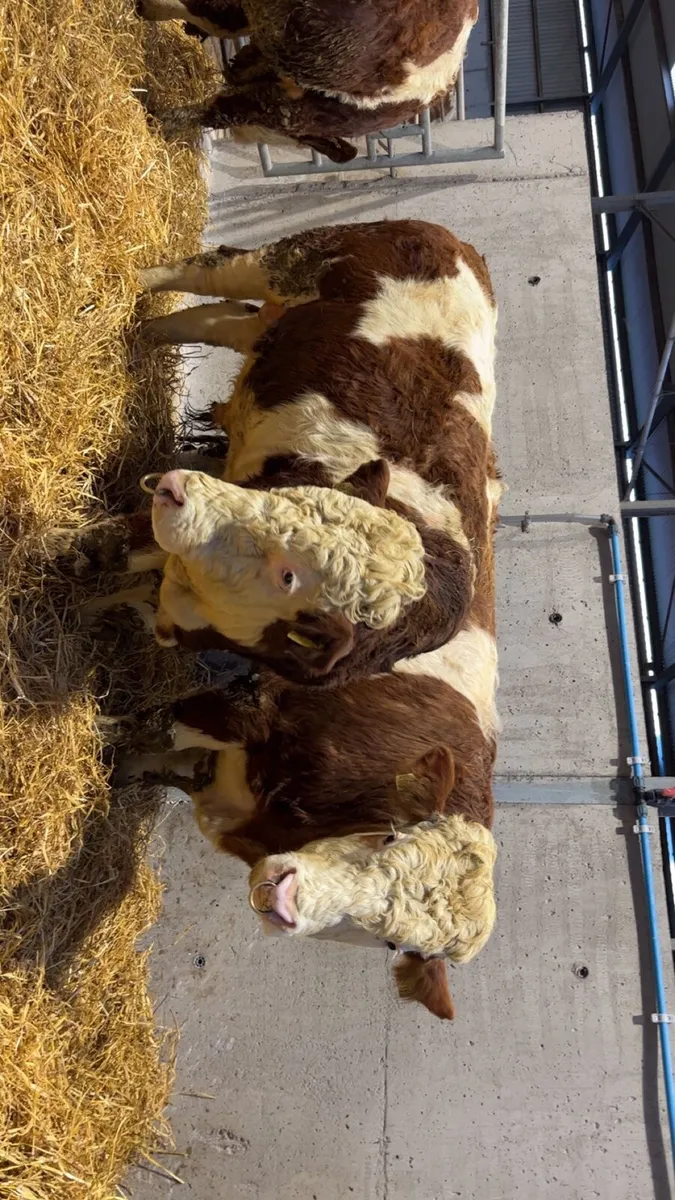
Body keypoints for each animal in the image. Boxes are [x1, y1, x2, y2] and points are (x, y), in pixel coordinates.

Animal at [66, 220, 498, 692]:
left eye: (288, 577)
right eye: (291, 498)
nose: (180, 489)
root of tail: (459, 246)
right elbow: (112, 547)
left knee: (218, 320)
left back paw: (142, 331)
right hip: (296, 259)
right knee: (209, 270)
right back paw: (122, 286)